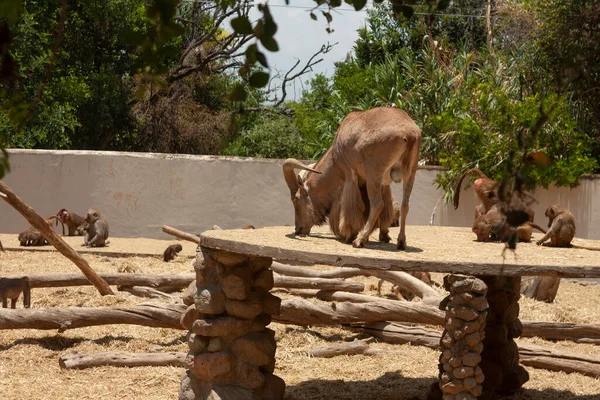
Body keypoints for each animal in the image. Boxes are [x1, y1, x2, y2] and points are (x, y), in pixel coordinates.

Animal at [282, 108, 422, 248]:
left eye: (295, 199)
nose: (298, 229)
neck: (335, 157)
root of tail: (409, 134)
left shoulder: (350, 175)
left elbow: (352, 207)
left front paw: (350, 234)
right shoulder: (383, 184)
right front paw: (384, 235)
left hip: (374, 173)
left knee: (377, 204)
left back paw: (359, 240)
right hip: (410, 173)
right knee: (404, 205)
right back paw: (401, 242)